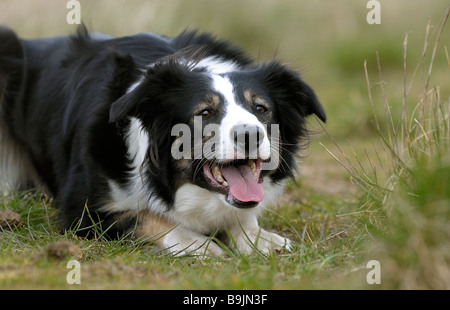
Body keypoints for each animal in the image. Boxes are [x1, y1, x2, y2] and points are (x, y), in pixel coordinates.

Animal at [0, 26, 326, 254]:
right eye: (204, 112)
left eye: (261, 109)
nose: (250, 134)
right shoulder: (83, 209)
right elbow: (148, 218)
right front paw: (203, 246)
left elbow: (241, 217)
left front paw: (260, 240)